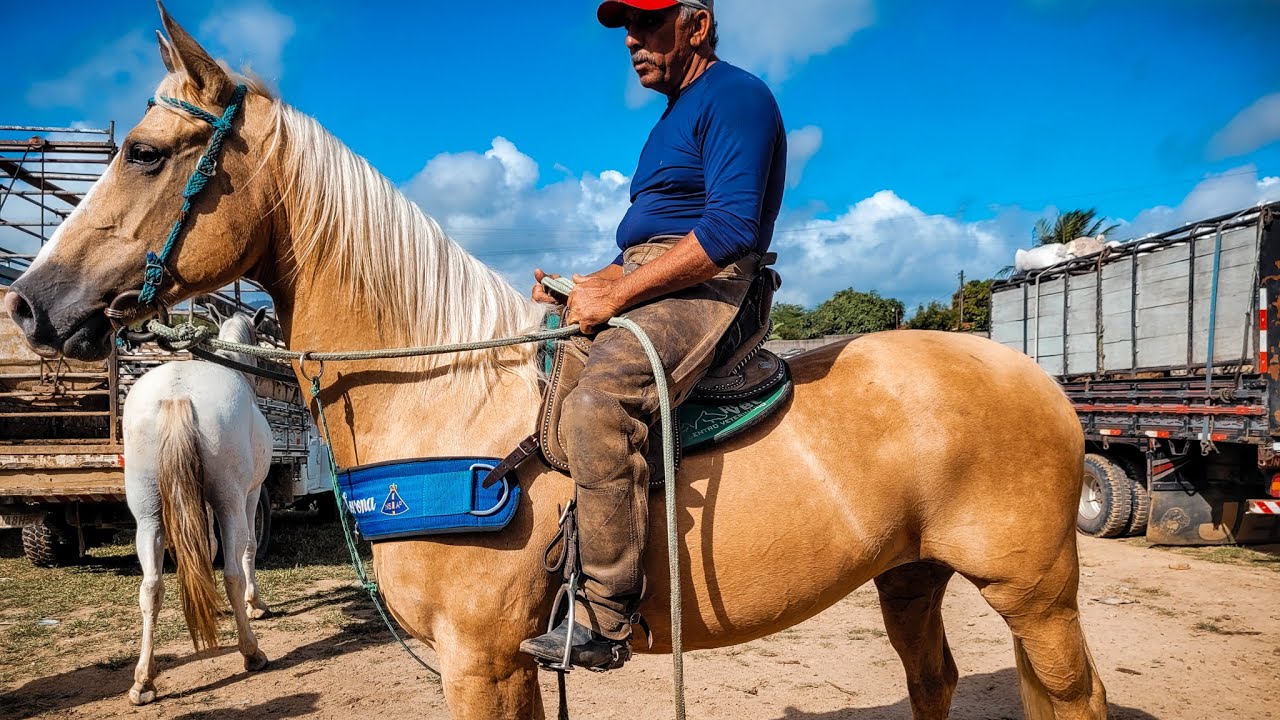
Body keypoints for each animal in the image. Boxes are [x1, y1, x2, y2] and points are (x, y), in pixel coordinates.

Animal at [122, 307, 274, 705]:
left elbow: (207, 548)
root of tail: (178, 393)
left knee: (151, 586)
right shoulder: (251, 492)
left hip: (148, 514)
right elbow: (247, 548)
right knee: (232, 572)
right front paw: (254, 604)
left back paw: (144, 681)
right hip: (230, 500)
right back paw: (252, 652)